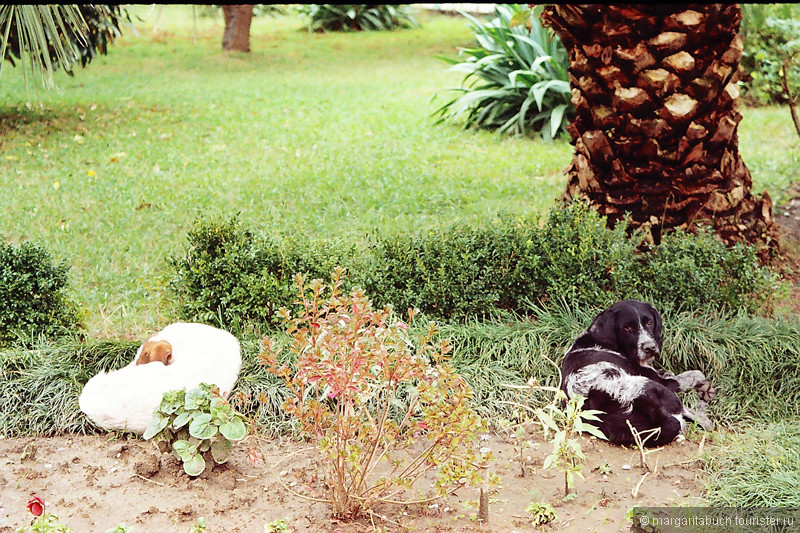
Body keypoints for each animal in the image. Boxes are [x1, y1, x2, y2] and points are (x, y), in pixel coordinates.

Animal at [560, 300, 716, 444]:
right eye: (627, 327)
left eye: (649, 322)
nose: (650, 348)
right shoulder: (663, 382)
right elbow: (693, 374)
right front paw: (703, 387)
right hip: (653, 387)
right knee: (683, 410)